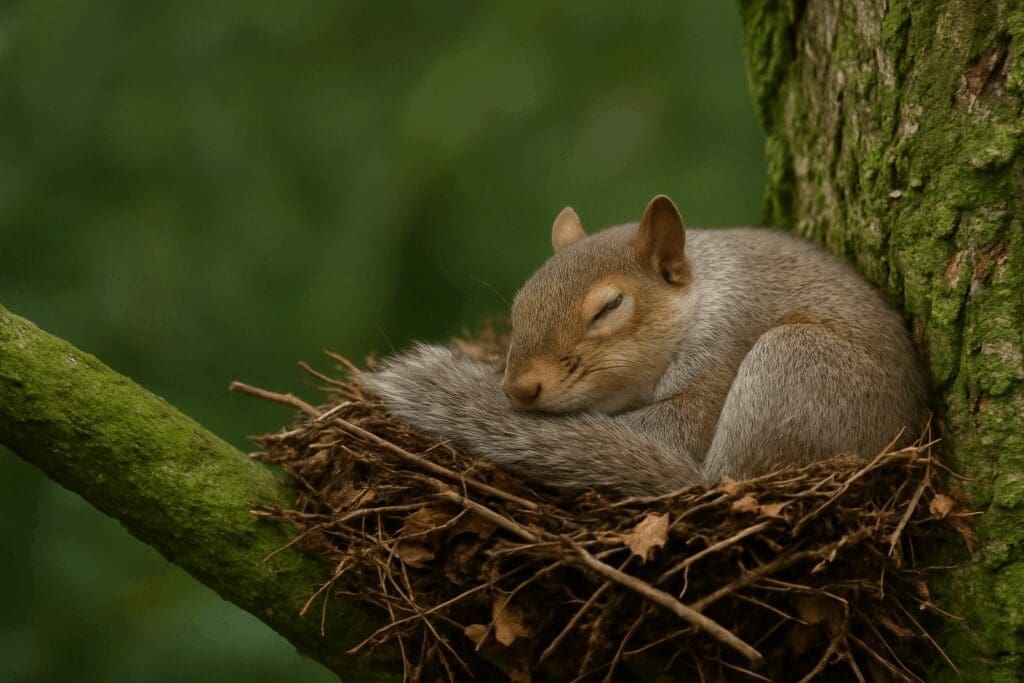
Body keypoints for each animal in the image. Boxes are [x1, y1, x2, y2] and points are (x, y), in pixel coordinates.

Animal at [362, 195, 928, 496]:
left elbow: (679, 425)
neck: (702, 296)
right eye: (520, 302)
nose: (519, 390)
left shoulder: (722, 353)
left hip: (793, 364)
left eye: (610, 307)